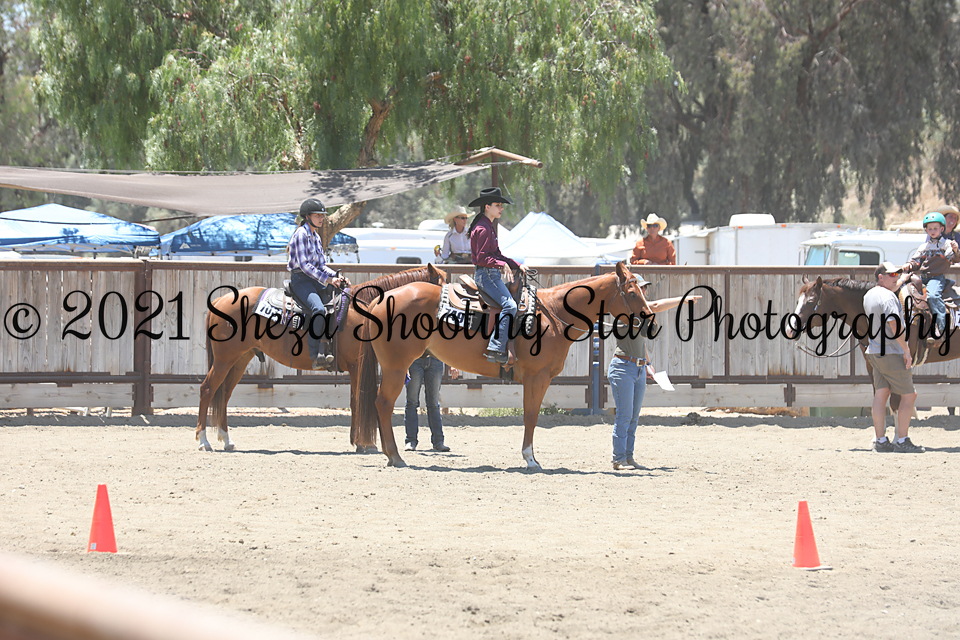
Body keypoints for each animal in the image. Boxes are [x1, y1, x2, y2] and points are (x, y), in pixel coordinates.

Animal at [196, 264, 446, 451]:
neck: (366, 309)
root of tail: (218, 301)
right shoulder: (357, 365)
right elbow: (358, 400)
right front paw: (364, 444)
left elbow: (354, 401)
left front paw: (357, 442)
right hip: (224, 360)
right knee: (208, 389)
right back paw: (203, 441)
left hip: (239, 360)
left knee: (224, 395)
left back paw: (226, 439)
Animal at [354, 261, 654, 469]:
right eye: (631, 291)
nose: (649, 318)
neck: (553, 314)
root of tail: (380, 299)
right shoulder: (537, 377)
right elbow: (531, 416)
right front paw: (530, 459)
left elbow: (530, 416)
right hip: (396, 368)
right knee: (383, 404)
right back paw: (395, 456)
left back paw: (390, 454)